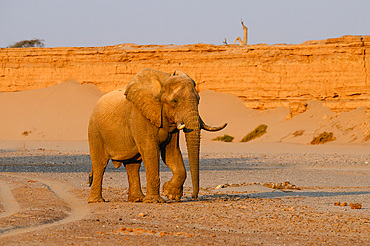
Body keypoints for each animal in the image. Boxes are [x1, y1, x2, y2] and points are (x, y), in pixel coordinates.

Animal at [87, 67, 227, 204]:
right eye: (175, 101)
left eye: (198, 100)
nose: (194, 197)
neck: (163, 82)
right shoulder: (139, 116)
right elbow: (151, 151)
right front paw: (155, 200)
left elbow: (171, 153)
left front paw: (171, 194)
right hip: (95, 131)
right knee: (100, 164)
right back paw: (97, 201)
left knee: (133, 165)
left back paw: (137, 199)